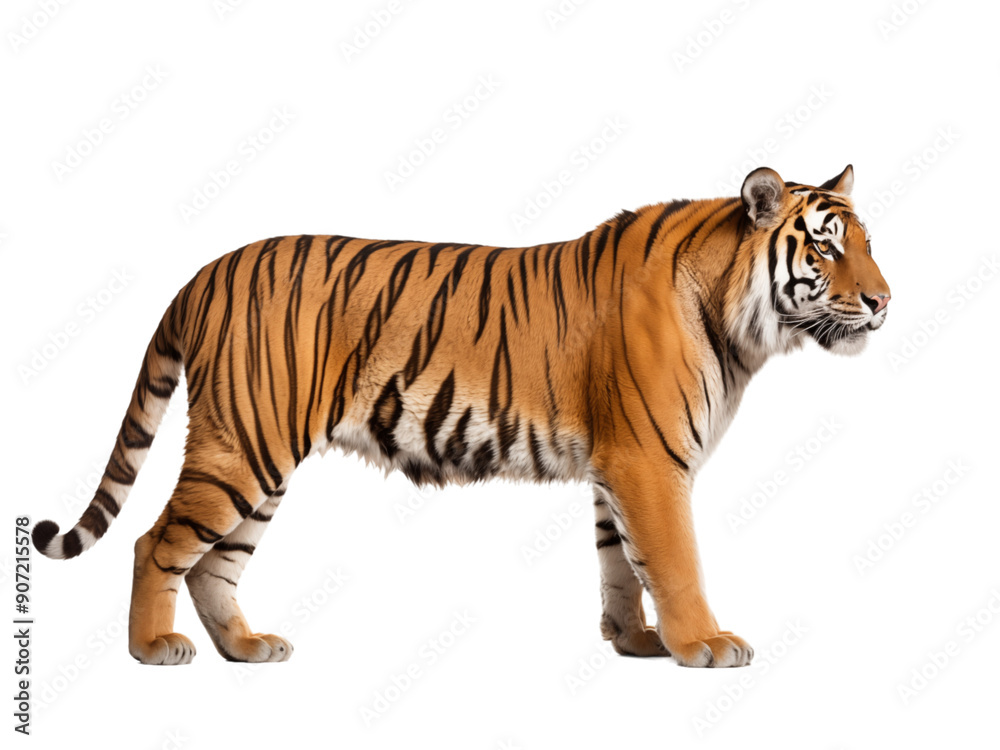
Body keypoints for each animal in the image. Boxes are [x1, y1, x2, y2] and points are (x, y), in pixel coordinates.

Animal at [32, 164, 889, 668]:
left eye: (870, 243)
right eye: (827, 249)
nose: (884, 301)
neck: (744, 322)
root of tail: (205, 271)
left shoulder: (617, 466)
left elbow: (620, 562)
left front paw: (634, 641)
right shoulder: (649, 461)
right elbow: (674, 563)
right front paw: (704, 643)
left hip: (261, 461)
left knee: (216, 560)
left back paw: (246, 646)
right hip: (242, 444)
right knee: (155, 543)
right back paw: (153, 647)